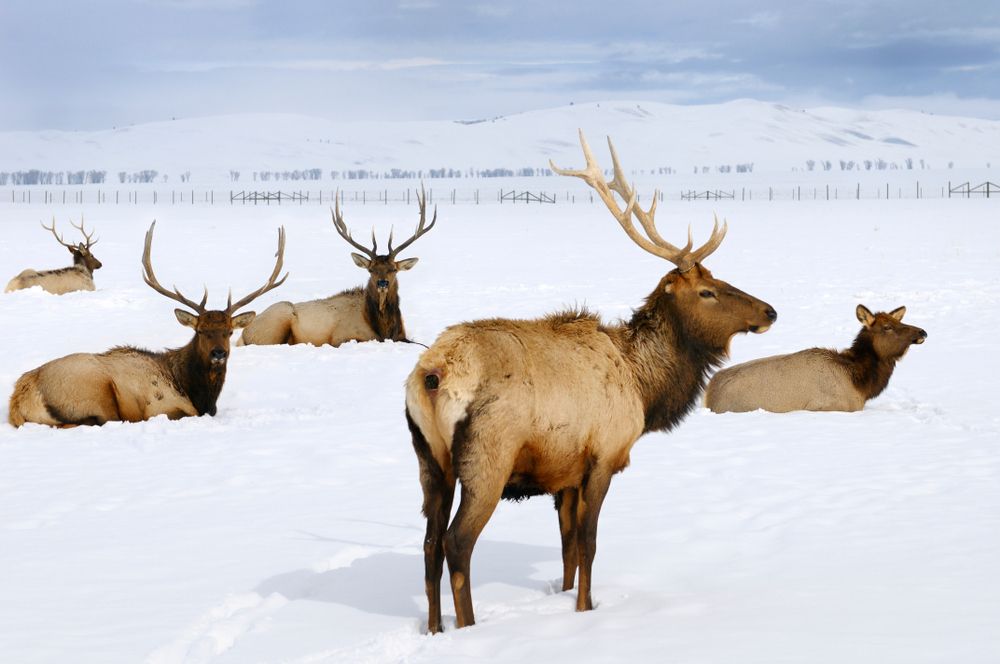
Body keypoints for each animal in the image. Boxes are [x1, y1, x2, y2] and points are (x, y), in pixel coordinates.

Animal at [8, 221, 287, 427]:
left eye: (229, 331)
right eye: (200, 331)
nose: (219, 353)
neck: (196, 391)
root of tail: (18, 398)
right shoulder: (162, 406)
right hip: (94, 394)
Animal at [236, 190, 436, 347]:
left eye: (393, 269)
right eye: (371, 270)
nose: (382, 283)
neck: (383, 327)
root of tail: (244, 333)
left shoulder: (403, 336)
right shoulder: (342, 338)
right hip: (278, 319)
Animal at [403, 131, 777, 633]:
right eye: (707, 291)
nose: (770, 311)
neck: (644, 387)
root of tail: (432, 374)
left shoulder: (564, 472)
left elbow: (567, 548)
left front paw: (563, 599)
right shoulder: (603, 455)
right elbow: (590, 543)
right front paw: (586, 609)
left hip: (429, 460)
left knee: (428, 545)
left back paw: (436, 629)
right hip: (488, 457)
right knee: (456, 542)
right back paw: (468, 628)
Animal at [704, 304, 927, 413]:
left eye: (900, 321)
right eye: (887, 327)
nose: (922, 331)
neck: (860, 384)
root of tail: (708, 396)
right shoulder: (828, 406)